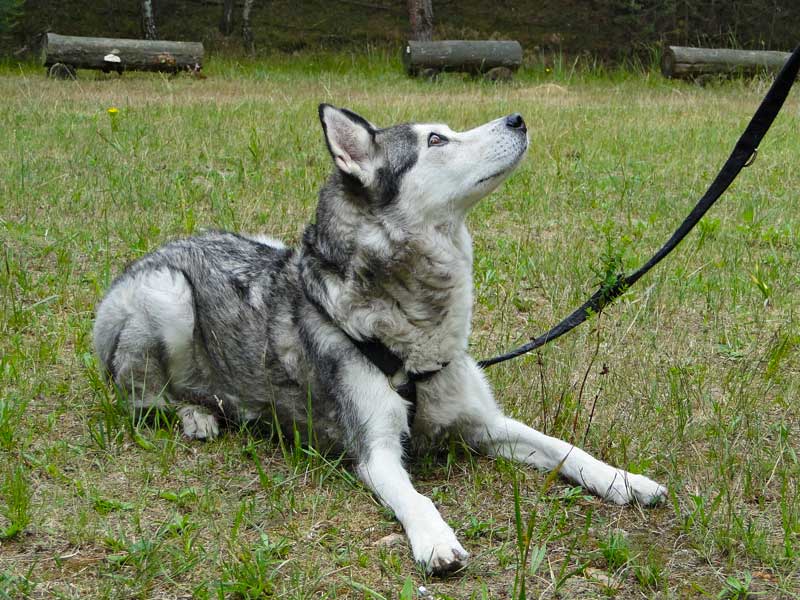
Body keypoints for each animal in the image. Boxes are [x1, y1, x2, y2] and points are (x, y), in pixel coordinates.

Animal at [93, 105, 667, 574]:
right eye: (436, 140)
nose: (518, 119)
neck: (415, 337)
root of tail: (157, 251)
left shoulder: (485, 422)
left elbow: (567, 449)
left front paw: (625, 481)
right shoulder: (376, 452)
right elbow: (417, 499)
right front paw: (435, 540)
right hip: (167, 296)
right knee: (144, 399)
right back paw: (197, 414)